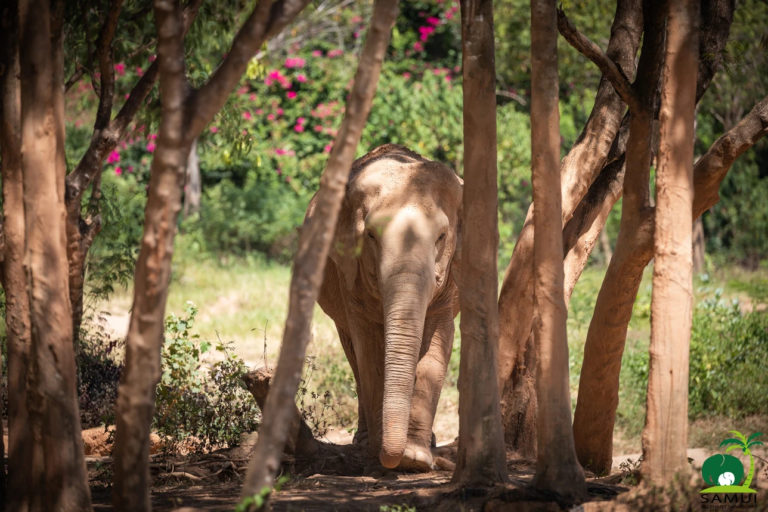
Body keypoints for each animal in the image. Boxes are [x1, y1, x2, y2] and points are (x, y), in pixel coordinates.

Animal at [306, 144, 462, 471]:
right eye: (371, 236)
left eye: (441, 237)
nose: (397, 456)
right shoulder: (349, 274)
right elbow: (368, 348)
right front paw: (382, 455)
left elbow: (437, 344)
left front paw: (415, 458)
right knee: (352, 353)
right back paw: (363, 442)